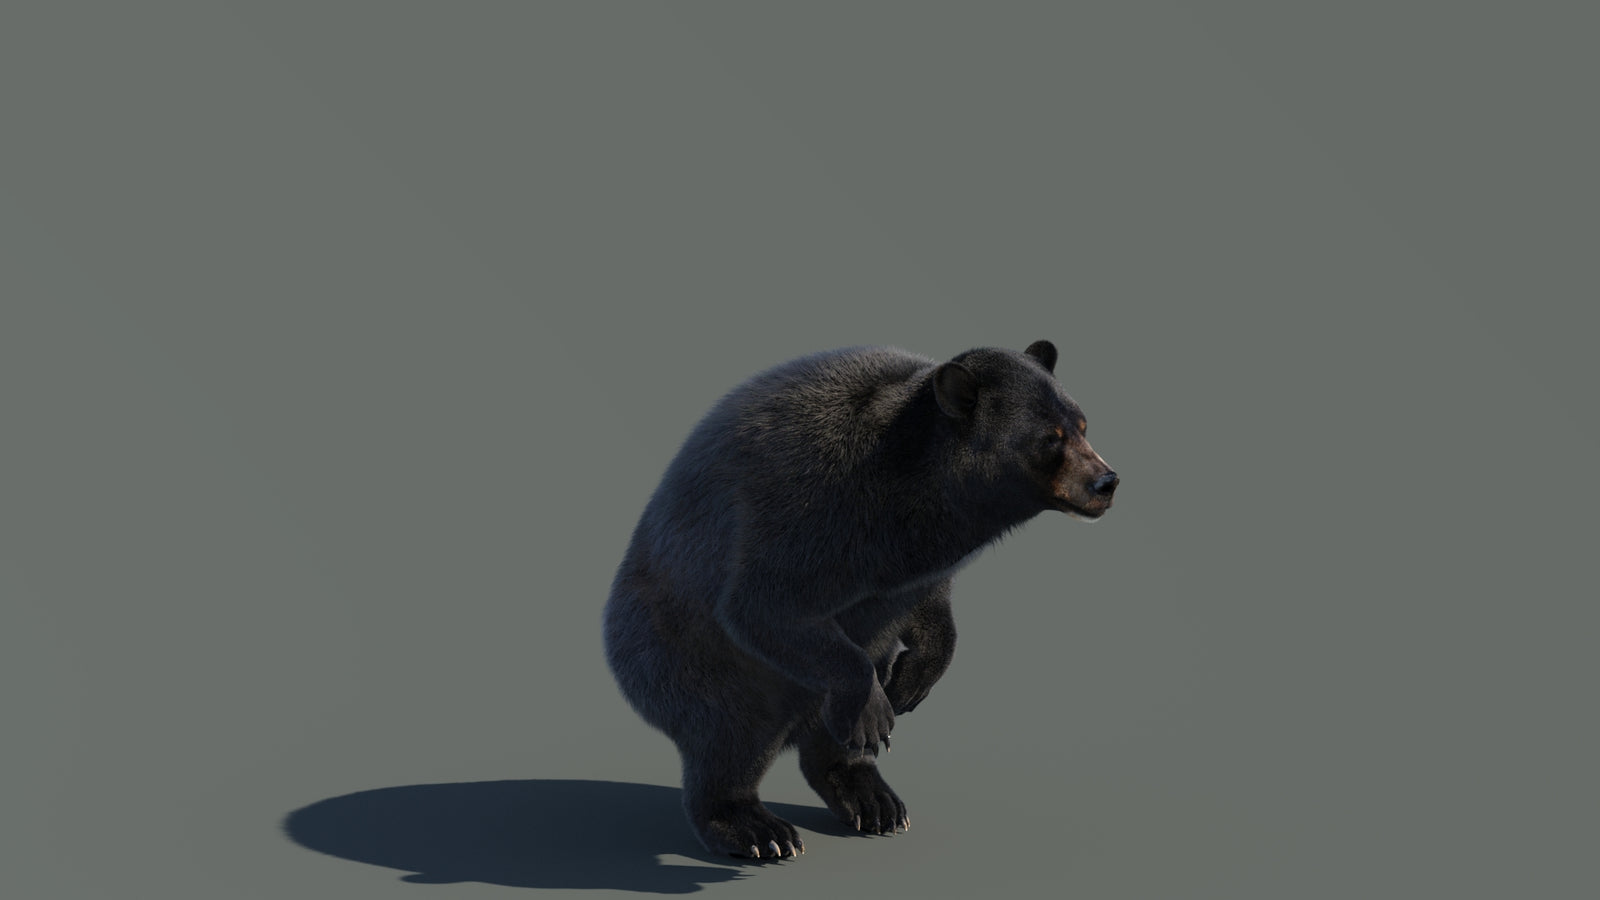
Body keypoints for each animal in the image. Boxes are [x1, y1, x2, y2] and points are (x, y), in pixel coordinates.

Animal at [602, 340, 1118, 859]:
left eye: (1083, 424)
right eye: (1049, 438)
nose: (1107, 482)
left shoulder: (913, 566)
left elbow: (927, 607)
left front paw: (910, 681)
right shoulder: (814, 503)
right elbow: (763, 604)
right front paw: (873, 709)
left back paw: (872, 798)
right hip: (680, 654)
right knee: (731, 730)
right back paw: (756, 828)